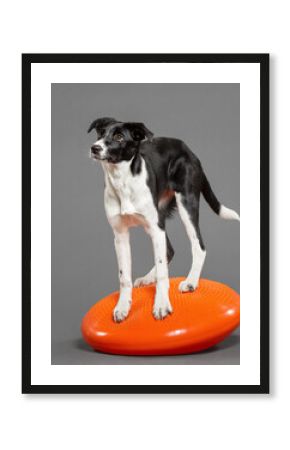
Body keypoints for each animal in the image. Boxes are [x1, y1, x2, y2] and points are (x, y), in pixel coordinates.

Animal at [89, 118, 240, 322]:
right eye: (100, 133)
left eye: (119, 137)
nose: (94, 148)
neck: (123, 181)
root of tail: (187, 149)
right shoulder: (120, 235)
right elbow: (124, 276)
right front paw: (123, 306)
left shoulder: (155, 228)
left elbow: (162, 273)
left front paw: (161, 305)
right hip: (159, 218)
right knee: (169, 250)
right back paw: (147, 278)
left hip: (185, 205)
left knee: (198, 246)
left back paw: (191, 281)